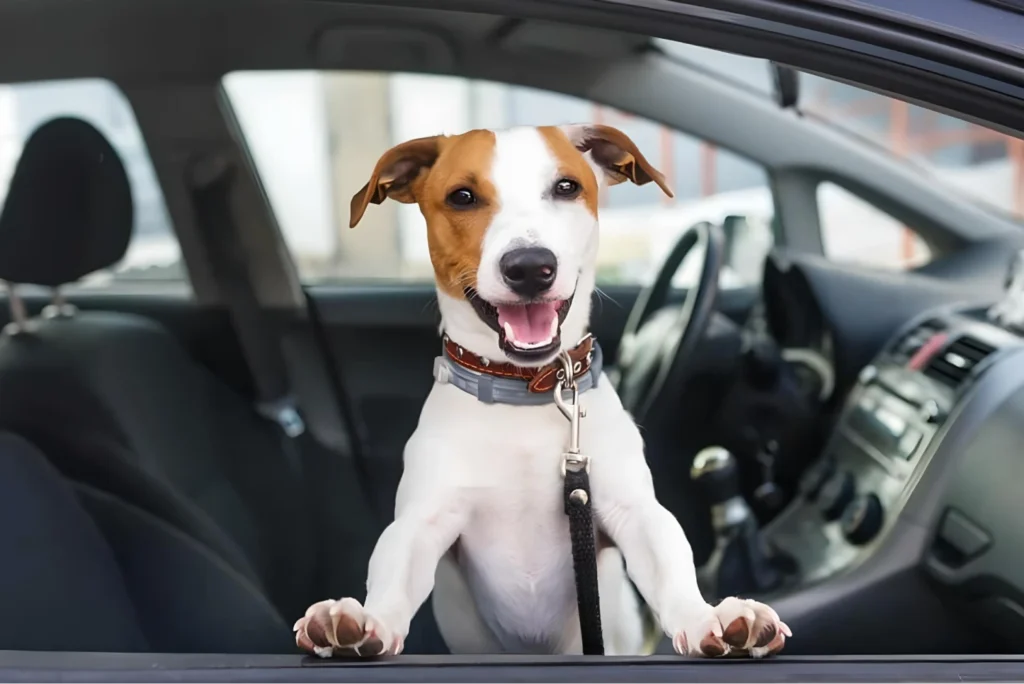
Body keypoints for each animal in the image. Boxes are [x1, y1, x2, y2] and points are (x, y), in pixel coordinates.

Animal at [292, 121, 786, 655]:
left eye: (566, 187)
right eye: (462, 197)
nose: (530, 266)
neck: (524, 390)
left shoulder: (630, 510)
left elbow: (670, 563)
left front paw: (708, 617)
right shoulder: (423, 522)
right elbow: (393, 574)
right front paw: (364, 622)